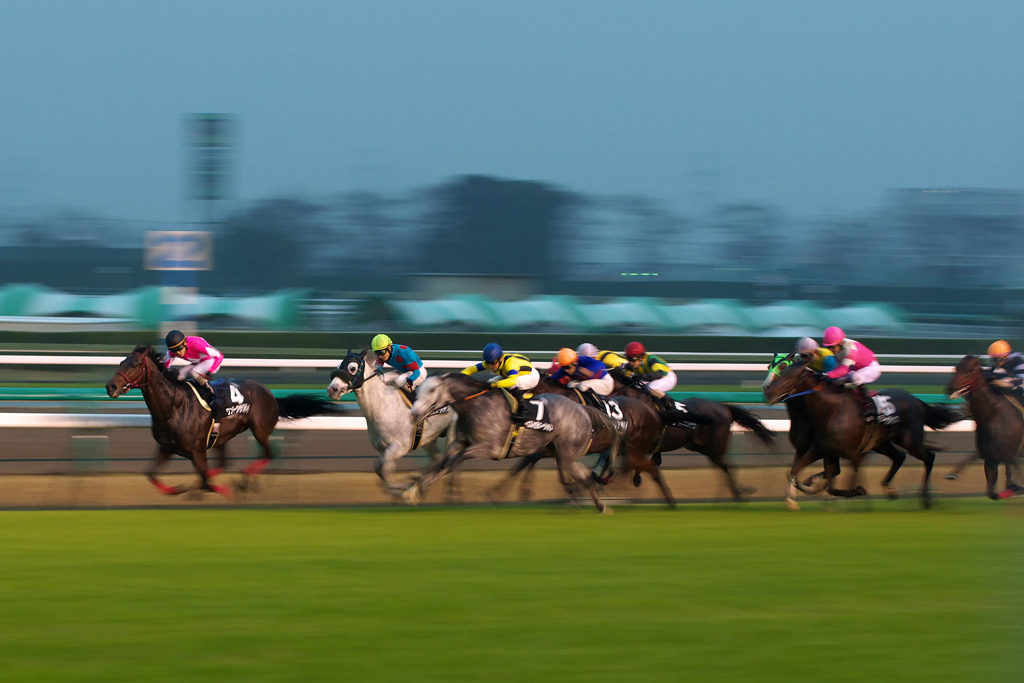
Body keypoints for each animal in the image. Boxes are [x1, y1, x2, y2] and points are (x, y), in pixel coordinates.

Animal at [106, 348, 342, 497]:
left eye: (135, 364)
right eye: (121, 362)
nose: (111, 387)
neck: (173, 406)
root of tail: (270, 394)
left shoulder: (196, 451)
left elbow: (207, 482)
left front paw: (222, 491)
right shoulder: (167, 447)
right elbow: (152, 474)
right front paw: (178, 489)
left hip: (260, 429)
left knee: (268, 453)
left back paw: (244, 480)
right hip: (221, 437)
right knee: (224, 462)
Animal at [329, 352, 454, 491]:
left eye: (352, 368)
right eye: (338, 366)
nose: (332, 389)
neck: (383, 406)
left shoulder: (400, 446)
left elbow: (385, 473)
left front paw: (403, 488)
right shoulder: (382, 449)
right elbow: (379, 468)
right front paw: (410, 482)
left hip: (452, 432)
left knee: (446, 464)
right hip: (429, 438)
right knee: (437, 460)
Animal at [405, 374, 614, 511]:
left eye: (432, 390)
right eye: (420, 389)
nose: (413, 414)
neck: (476, 405)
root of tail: (582, 409)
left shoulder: (489, 447)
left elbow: (454, 462)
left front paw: (451, 494)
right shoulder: (460, 442)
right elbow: (444, 464)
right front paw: (415, 490)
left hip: (567, 450)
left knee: (583, 473)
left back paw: (599, 503)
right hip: (555, 449)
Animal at [765, 358, 962, 507]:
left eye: (792, 375)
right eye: (781, 370)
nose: (769, 391)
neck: (832, 412)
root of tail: (916, 400)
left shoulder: (855, 455)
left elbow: (840, 484)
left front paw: (856, 491)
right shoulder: (822, 449)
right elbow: (795, 470)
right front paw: (805, 488)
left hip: (910, 441)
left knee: (929, 457)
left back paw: (925, 498)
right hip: (882, 443)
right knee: (899, 457)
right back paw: (890, 489)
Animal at [942, 356, 1024, 499]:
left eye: (970, 370)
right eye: (956, 367)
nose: (950, 388)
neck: (993, 417)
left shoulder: (1009, 457)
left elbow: (1010, 476)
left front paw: (1016, 487)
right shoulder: (990, 460)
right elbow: (992, 493)